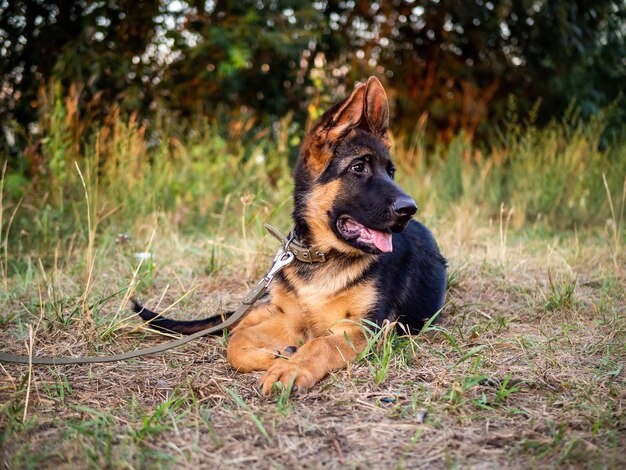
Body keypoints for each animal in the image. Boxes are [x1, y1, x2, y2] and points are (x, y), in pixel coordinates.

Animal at [134, 77, 446, 392]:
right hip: (269, 305)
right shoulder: (288, 319)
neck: (322, 257)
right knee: (239, 323)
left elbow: (320, 345)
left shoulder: (361, 327)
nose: (410, 209)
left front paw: (292, 367)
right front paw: (279, 356)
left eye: (390, 172)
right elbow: (236, 343)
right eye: (358, 167)